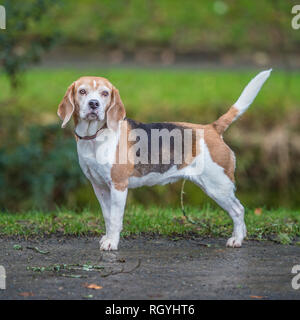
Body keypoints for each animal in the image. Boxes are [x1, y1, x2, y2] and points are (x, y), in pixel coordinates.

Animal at [58, 69, 272, 250]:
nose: (93, 104)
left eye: (104, 94)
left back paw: (237, 239)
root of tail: (211, 128)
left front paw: (112, 243)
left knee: (238, 210)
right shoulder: (100, 187)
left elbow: (116, 218)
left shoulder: (118, 186)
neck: (96, 137)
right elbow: (108, 216)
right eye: (83, 91)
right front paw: (108, 237)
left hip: (217, 186)